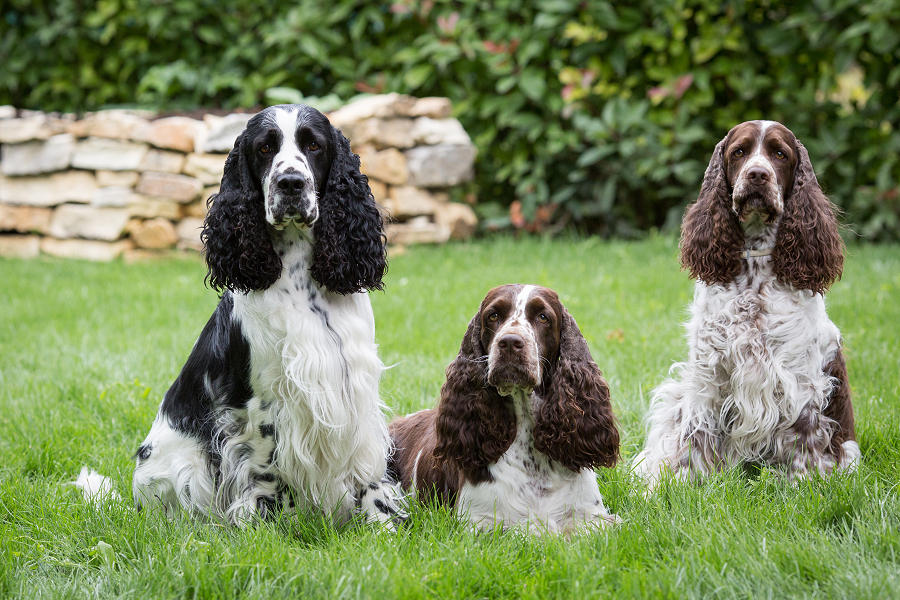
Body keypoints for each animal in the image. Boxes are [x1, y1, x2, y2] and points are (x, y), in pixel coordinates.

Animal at [133, 105, 404, 528]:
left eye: (314, 145)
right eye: (264, 148)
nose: (290, 183)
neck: (299, 276)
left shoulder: (355, 385)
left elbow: (368, 470)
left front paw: (382, 525)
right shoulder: (262, 398)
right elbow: (265, 468)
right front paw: (267, 526)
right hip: (179, 465)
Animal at [632, 120, 856, 488]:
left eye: (780, 153)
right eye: (739, 152)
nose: (757, 175)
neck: (754, 278)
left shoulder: (800, 377)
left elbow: (805, 435)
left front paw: (804, 485)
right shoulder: (708, 370)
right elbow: (695, 434)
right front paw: (683, 487)